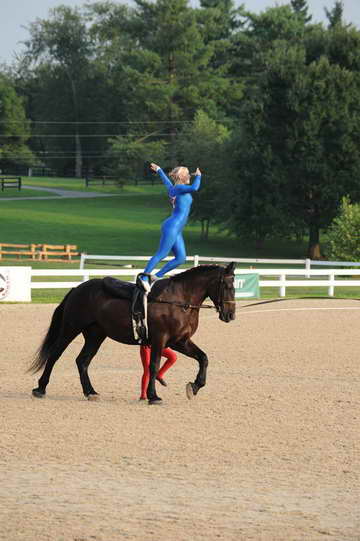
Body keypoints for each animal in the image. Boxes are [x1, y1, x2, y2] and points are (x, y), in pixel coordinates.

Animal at [30, 262, 236, 400]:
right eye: (227, 286)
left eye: (234, 285)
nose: (230, 314)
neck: (179, 300)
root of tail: (77, 288)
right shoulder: (160, 339)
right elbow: (153, 366)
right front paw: (153, 396)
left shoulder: (180, 341)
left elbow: (203, 358)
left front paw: (195, 386)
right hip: (71, 328)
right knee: (55, 355)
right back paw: (40, 388)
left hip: (96, 335)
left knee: (82, 361)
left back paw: (90, 392)